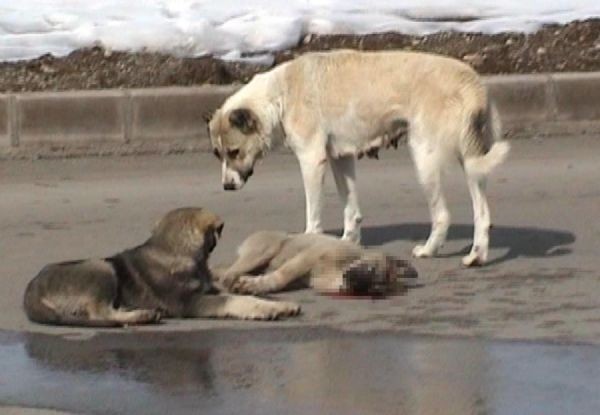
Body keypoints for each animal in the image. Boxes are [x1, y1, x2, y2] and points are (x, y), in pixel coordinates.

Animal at [23, 208, 300, 328]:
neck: (172, 249)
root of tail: (31, 289)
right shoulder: (192, 302)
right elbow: (234, 300)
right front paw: (266, 310)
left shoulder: (207, 289)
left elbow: (242, 294)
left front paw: (280, 305)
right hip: (101, 268)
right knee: (99, 313)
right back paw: (141, 315)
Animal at [209, 49, 508, 266]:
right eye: (218, 154)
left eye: (234, 152)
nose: (226, 186)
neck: (279, 95)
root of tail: (474, 86)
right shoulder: (341, 159)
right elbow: (351, 210)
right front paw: (348, 243)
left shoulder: (312, 161)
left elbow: (312, 214)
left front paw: (309, 241)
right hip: (473, 162)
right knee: (482, 213)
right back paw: (477, 255)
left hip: (424, 158)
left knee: (443, 215)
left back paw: (429, 250)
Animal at [218, 232, 420, 298]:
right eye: (373, 270)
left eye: (374, 289)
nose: (359, 282)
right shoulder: (308, 257)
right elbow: (283, 275)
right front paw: (259, 285)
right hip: (264, 249)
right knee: (229, 273)